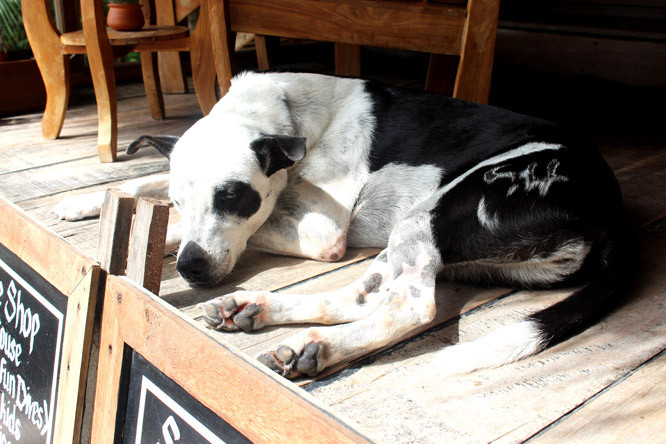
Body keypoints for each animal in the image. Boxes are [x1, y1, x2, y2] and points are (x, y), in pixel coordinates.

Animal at [53, 72, 624, 378]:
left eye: (234, 198)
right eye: (180, 197)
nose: (191, 270)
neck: (288, 118)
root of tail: (614, 206)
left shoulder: (321, 233)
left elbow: (233, 229)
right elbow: (147, 180)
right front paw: (87, 201)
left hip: (431, 214)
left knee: (411, 306)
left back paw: (321, 348)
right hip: (416, 236)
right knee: (361, 297)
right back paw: (259, 310)